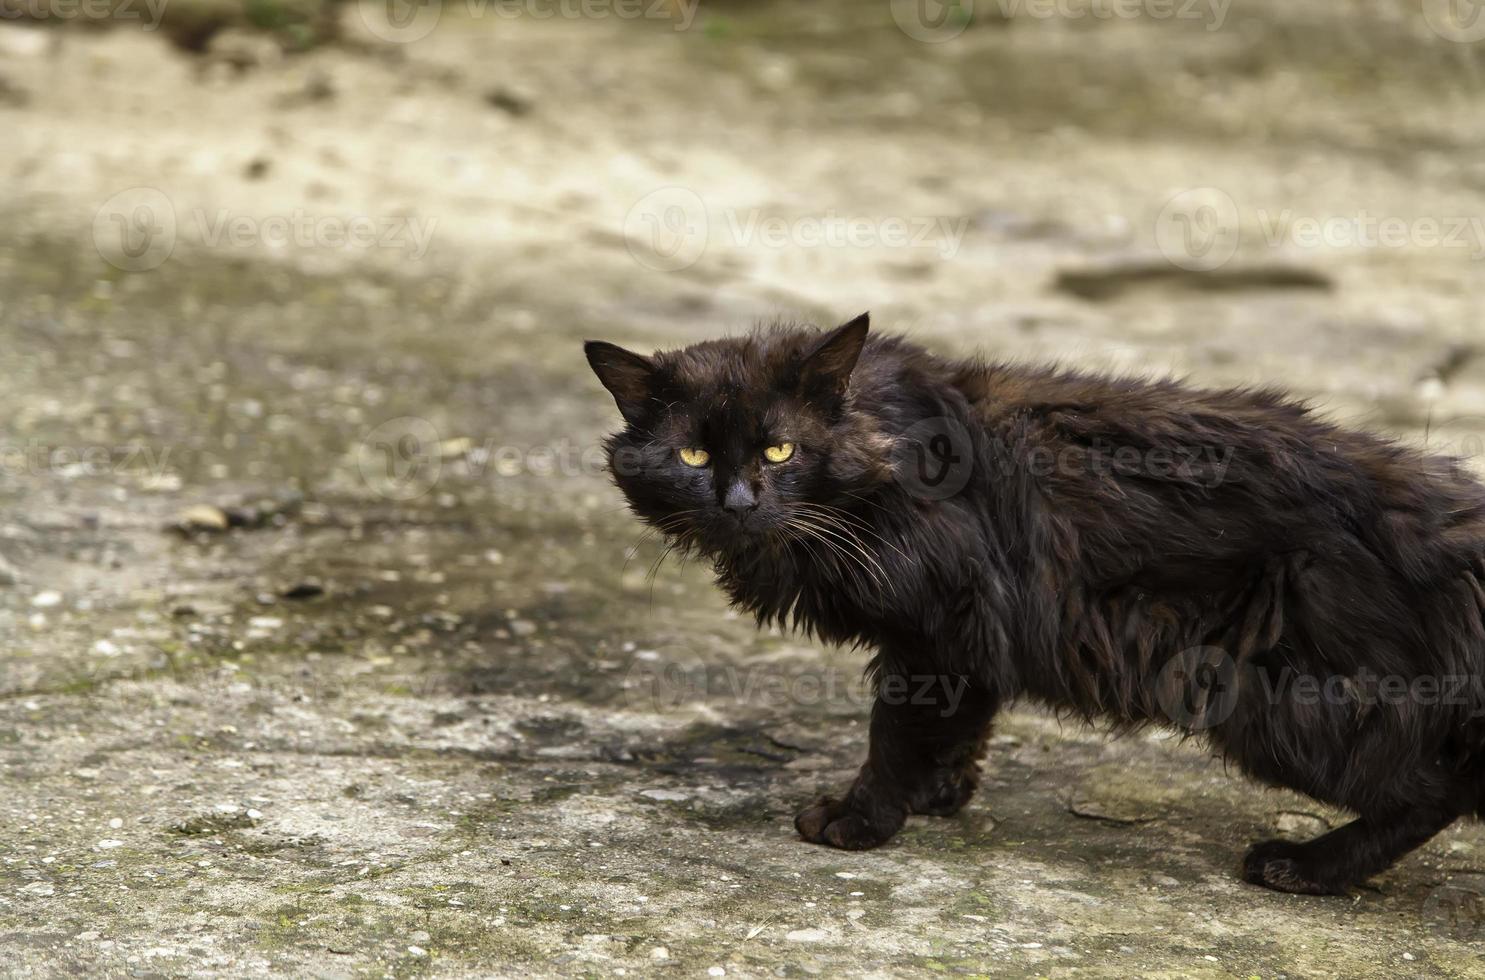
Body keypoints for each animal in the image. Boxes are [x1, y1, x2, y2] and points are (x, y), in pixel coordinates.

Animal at [579, 316, 1485, 896]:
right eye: (693, 456)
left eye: (778, 449)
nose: (737, 501)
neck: (887, 454)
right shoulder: (971, 636)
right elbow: (961, 720)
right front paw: (938, 794)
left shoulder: (934, 626)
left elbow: (893, 733)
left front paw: (863, 818)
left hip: (1289, 701)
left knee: (1430, 790)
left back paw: (1305, 869)